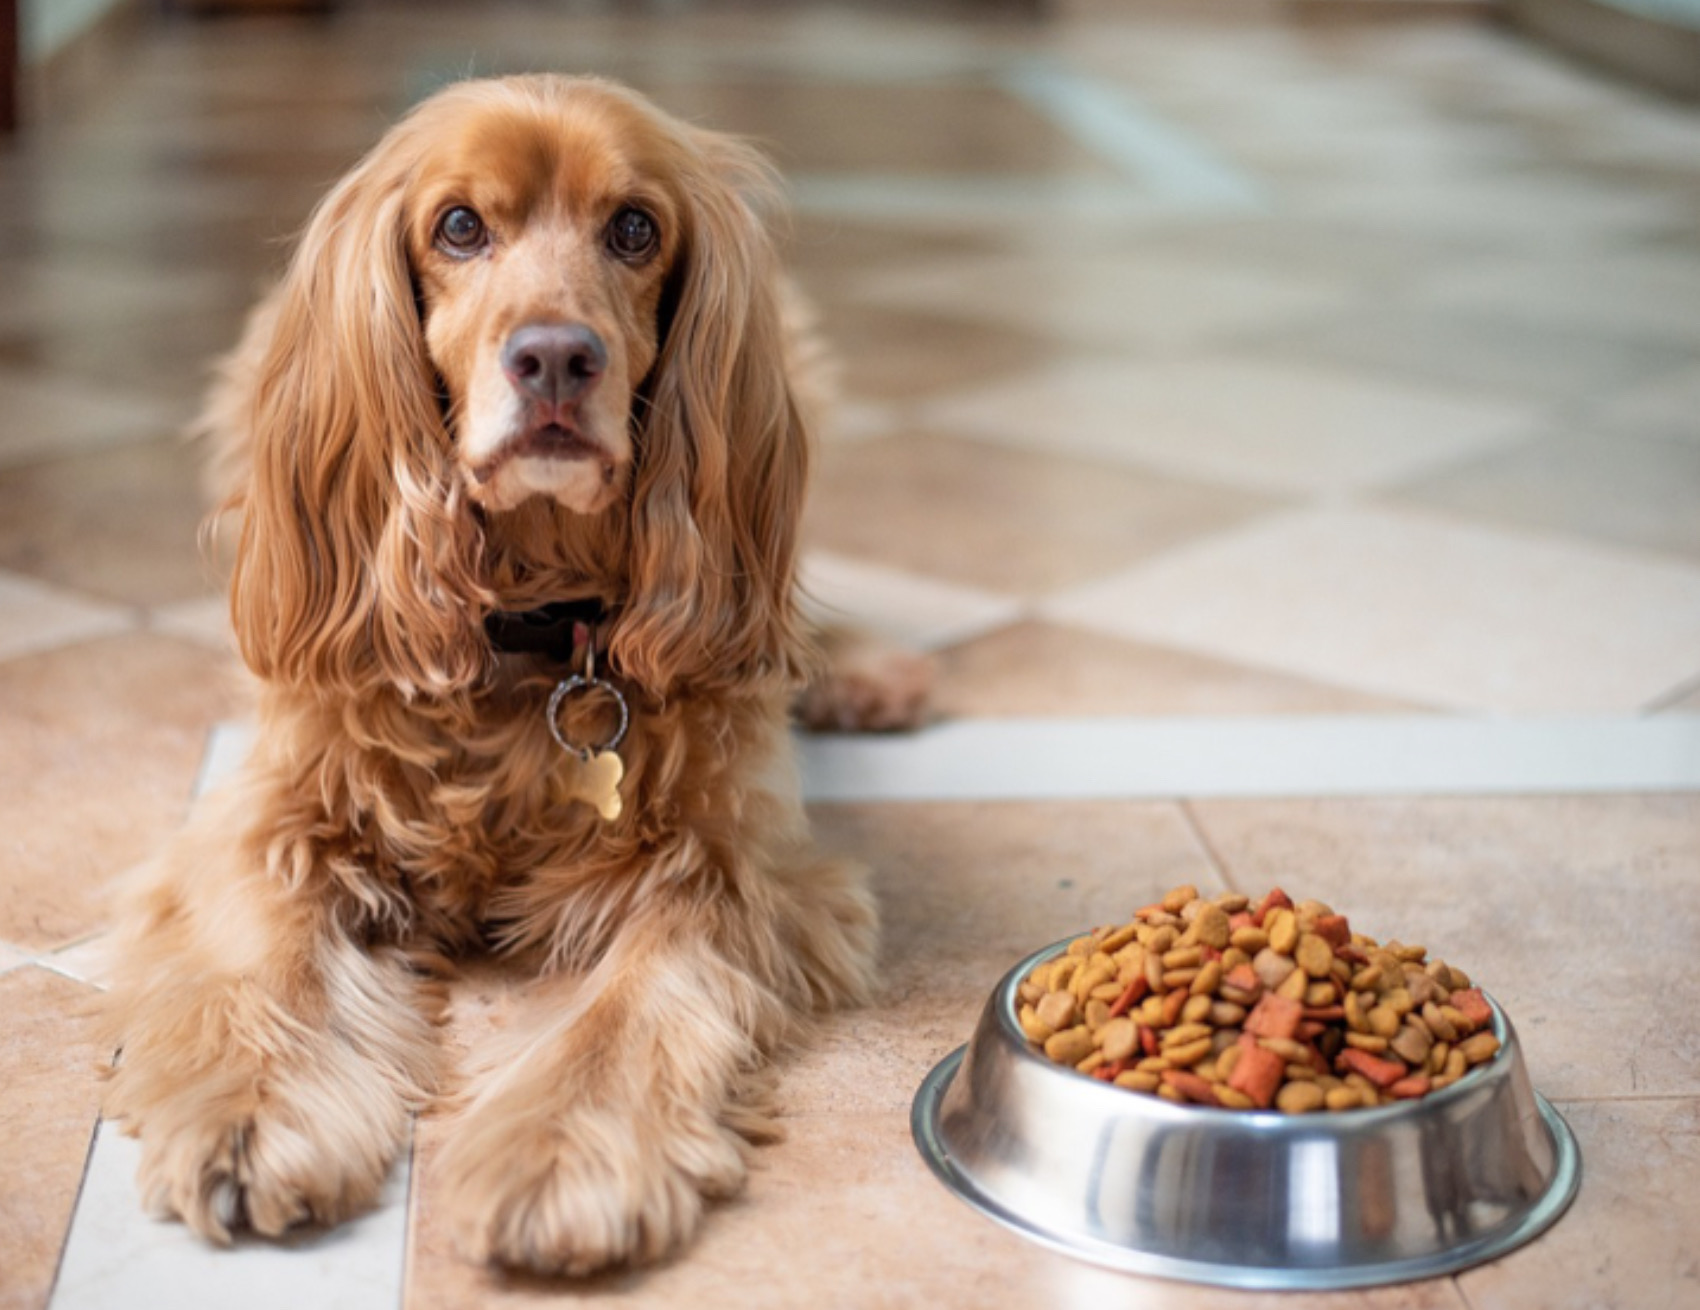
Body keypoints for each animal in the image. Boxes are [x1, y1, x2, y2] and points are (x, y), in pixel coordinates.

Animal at [97, 74, 911, 1277]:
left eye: (634, 229)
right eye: (458, 227)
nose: (557, 359)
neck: (530, 626)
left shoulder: (727, 868)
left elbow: (630, 1010)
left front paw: (562, 1157)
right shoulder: (271, 816)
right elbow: (267, 957)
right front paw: (252, 1113)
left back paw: (862, 669)